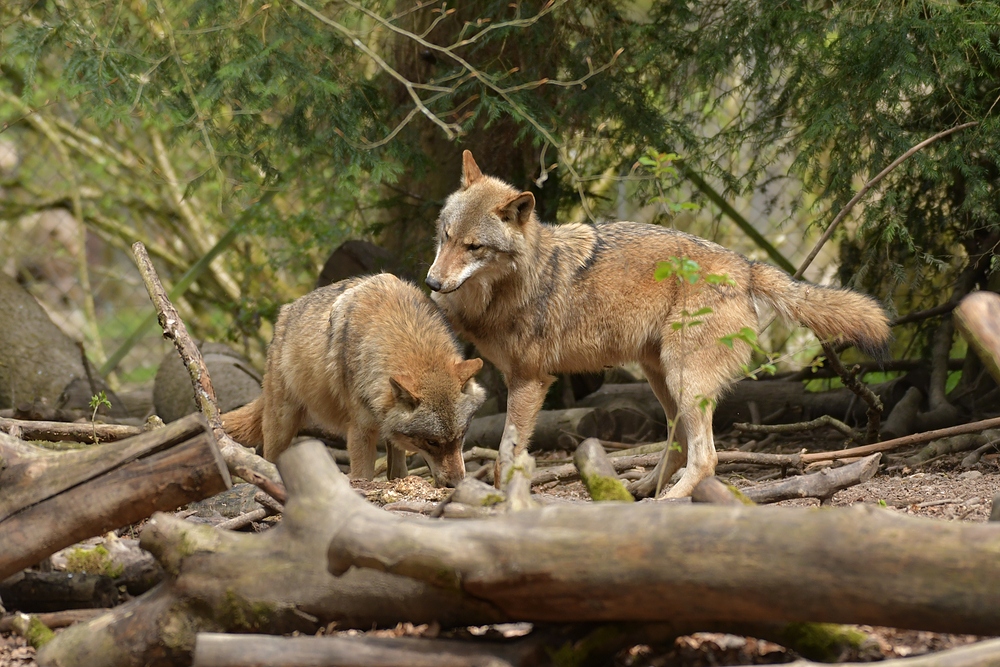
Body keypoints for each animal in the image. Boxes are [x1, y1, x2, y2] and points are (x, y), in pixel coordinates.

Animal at [222, 274, 484, 488]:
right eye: (432, 442)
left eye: (461, 435)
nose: (456, 484)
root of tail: (285, 313)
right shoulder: (360, 429)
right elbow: (362, 476)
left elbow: (397, 471)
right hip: (282, 424)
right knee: (267, 458)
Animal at [424, 150, 892, 496]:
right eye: (446, 236)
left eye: (474, 247)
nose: (432, 281)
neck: (505, 290)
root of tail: (745, 266)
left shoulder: (530, 380)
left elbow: (506, 453)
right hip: (661, 378)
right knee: (680, 446)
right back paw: (641, 489)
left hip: (684, 379)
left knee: (706, 455)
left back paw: (669, 501)